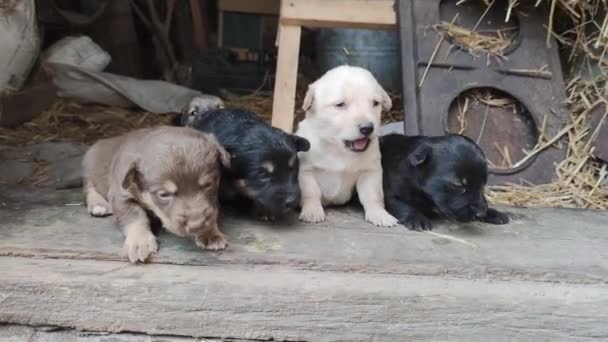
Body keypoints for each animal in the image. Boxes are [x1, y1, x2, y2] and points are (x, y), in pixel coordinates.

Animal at [82, 125, 229, 262]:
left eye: (209, 184)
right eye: (164, 194)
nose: (197, 224)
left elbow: (212, 210)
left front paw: (209, 232)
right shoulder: (121, 195)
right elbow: (135, 216)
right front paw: (139, 242)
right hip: (89, 169)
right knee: (89, 187)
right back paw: (98, 204)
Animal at [296, 66, 400, 227]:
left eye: (375, 103)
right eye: (340, 104)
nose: (367, 128)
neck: (339, 149)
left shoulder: (370, 171)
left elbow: (373, 195)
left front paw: (379, 214)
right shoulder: (306, 170)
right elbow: (311, 192)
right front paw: (312, 211)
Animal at [380, 132, 508, 231]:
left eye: (483, 184)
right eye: (458, 184)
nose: (480, 213)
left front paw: (493, 212)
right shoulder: (390, 193)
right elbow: (402, 205)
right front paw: (417, 218)